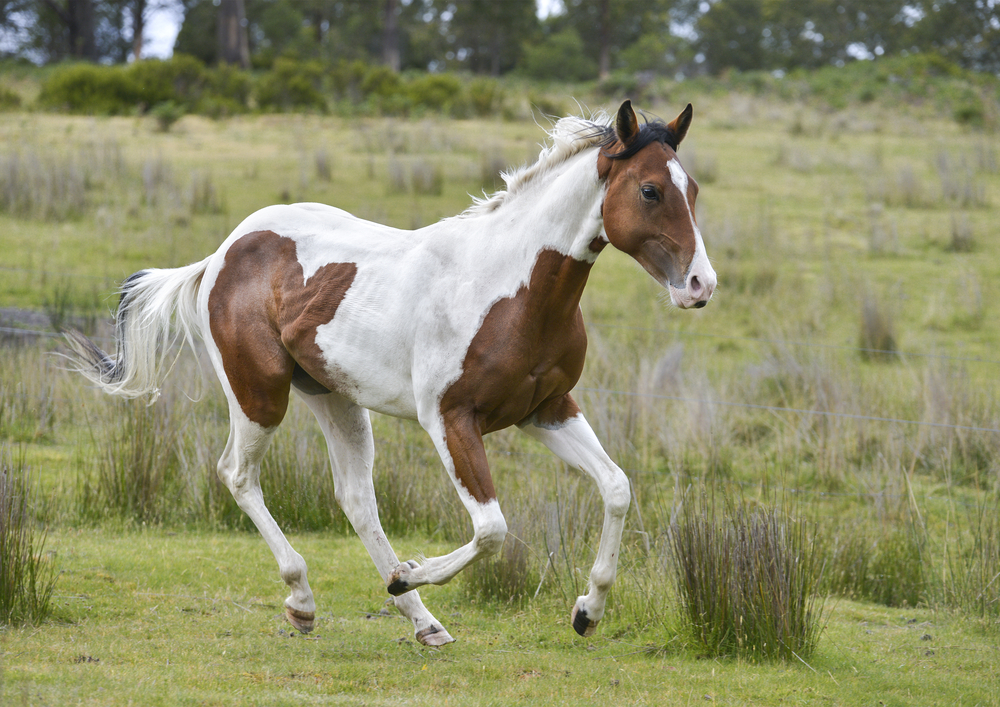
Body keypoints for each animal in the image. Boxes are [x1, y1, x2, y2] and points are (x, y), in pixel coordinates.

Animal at [66, 100, 716, 646]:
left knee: (356, 499)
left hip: (335, 399)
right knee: (238, 475)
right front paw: (410, 573)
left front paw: (587, 611)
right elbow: (492, 528)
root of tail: (221, 253)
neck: (508, 286)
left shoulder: (547, 411)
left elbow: (617, 488)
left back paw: (423, 623)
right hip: (260, 395)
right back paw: (305, 600)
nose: (700, 286)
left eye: (692, 188)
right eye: (650, 190)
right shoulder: (450, 420)